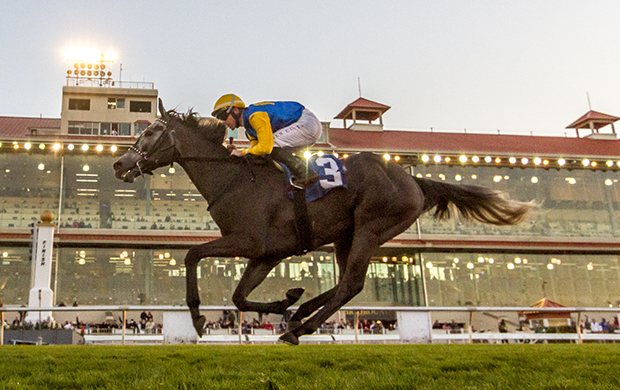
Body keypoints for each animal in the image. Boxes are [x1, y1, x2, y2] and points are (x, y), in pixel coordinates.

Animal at [112, 100, 528, 344]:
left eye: (151, 132)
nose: (118, 164)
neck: (233, 179)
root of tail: (412, 179)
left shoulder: (248, 241)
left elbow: (192, 256)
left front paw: (198, 317)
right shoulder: (268, 254)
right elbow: (239, 296)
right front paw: (286, 299)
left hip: (370, 228)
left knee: (352, 283)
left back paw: (301, 328)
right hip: (347, 236)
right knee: (345, 283)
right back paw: (300, 314)